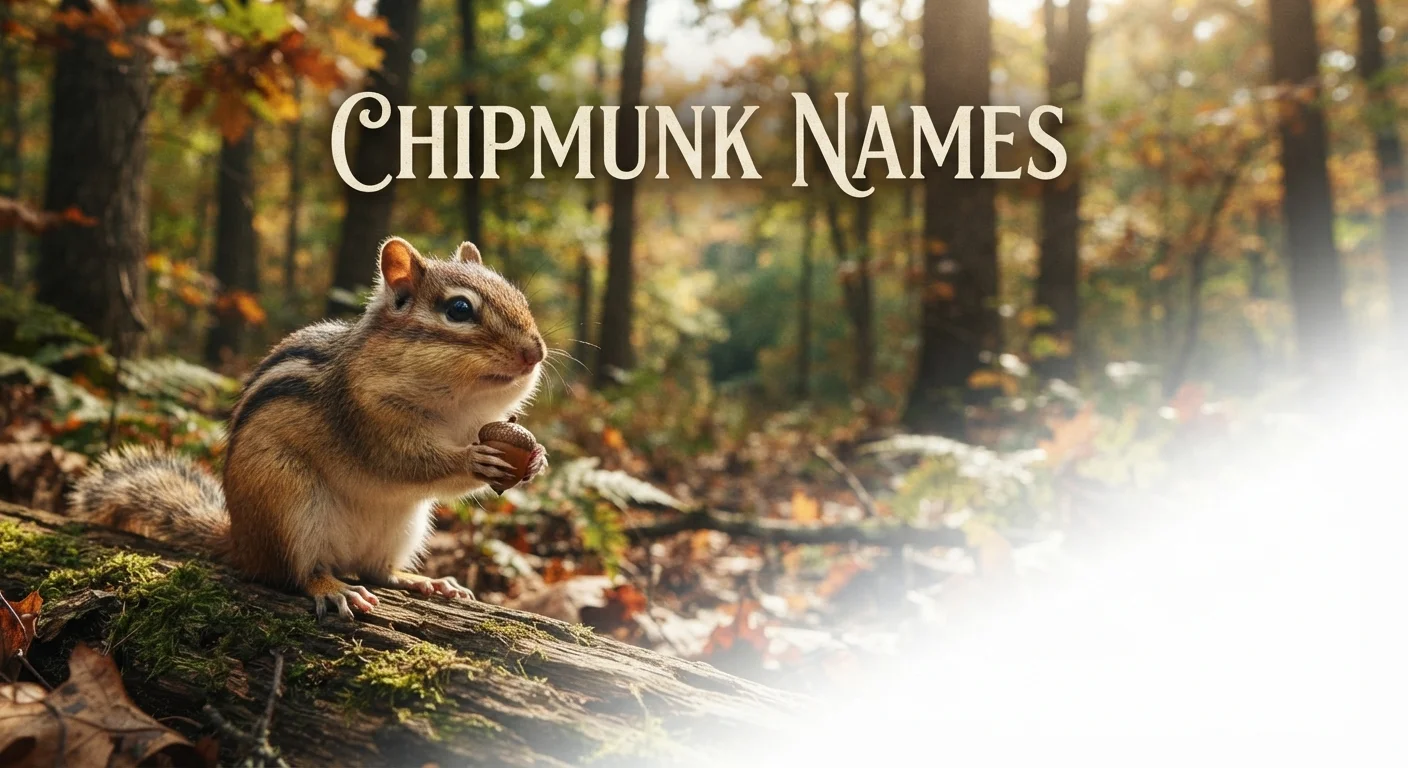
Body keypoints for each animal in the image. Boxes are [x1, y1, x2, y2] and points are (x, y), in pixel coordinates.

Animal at [69, 237, 549, 619]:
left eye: (519, 296)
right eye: (459, 309)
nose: (535, 353)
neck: (457, 407)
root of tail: (242, 543)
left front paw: (537, 459)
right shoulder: (363, 416)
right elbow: (406, 462)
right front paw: (475, 458)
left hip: (404, 527)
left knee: (377, 571)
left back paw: (424, 581)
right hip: (287, 501)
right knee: (296, 573)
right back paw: (335, 589)